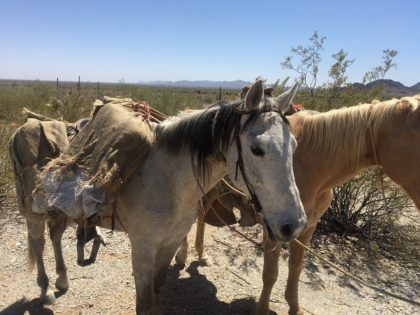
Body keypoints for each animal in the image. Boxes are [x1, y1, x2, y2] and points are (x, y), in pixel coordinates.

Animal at [256, 95, 420, 315]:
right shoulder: (274, 228)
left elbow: (296, 267)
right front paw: (262, 309)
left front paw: (295, 307)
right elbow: (270, 272)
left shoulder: (307, 227)